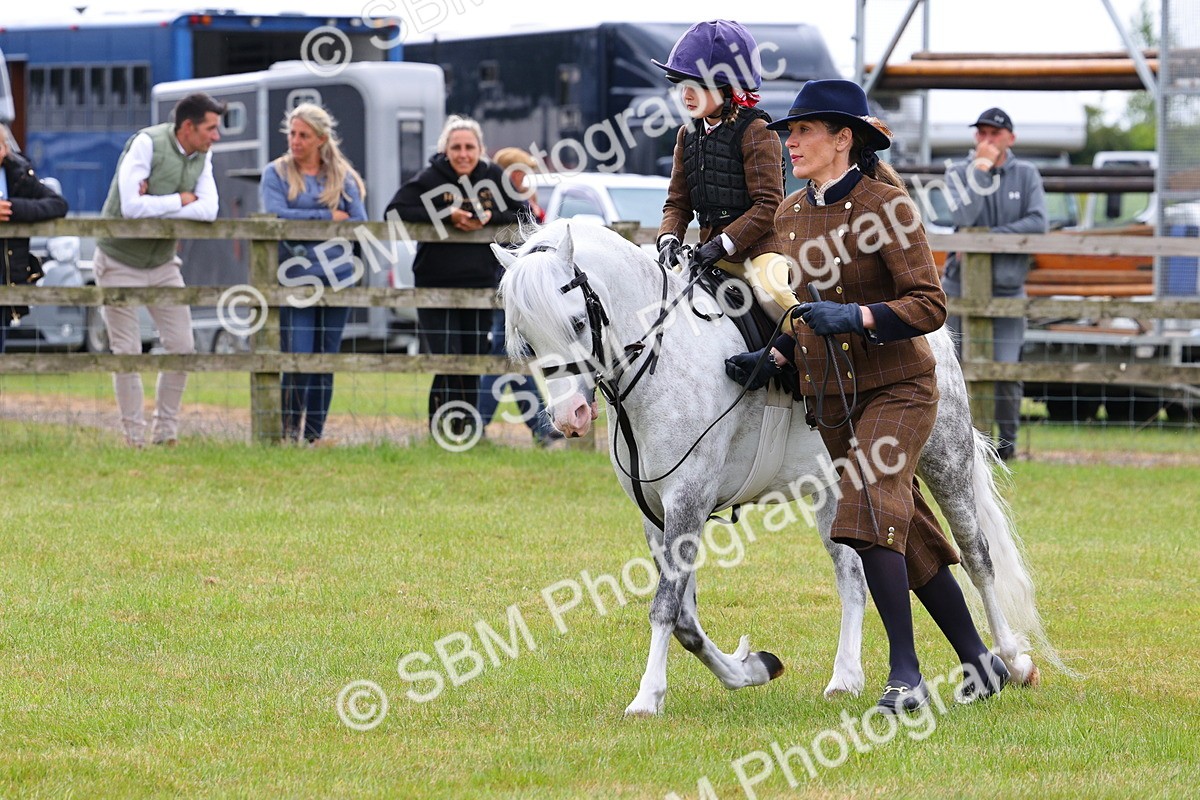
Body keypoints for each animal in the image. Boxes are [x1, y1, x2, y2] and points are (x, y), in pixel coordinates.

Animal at [493, 220, 1062, 716]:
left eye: (576, 322)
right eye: (526, 338)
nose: (570, 417)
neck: (661, 359)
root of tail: (928, 331)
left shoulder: (688, 502)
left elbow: (665, 608)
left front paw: (646, 698)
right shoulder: (655, 513)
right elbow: (686, 619)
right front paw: (752, 669)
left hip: (944, 459)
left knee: (975, 555)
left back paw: (1011, 662)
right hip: (840, 487)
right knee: (861, 573)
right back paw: (848, 677)